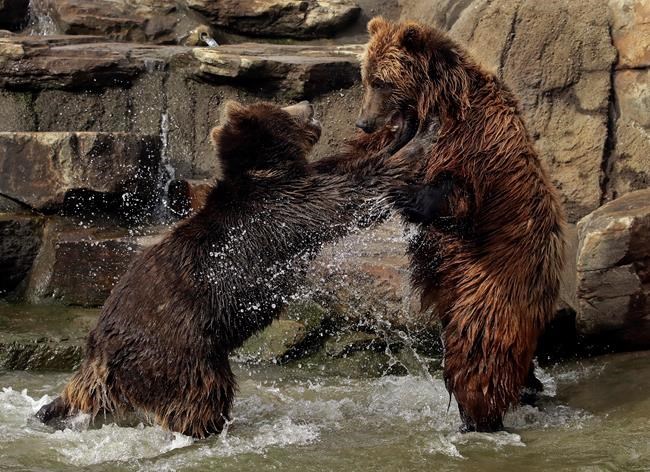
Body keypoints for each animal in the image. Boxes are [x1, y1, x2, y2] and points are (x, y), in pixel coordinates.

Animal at [36, 100, 435, 438]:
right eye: (282, 106)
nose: (308, 104)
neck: (270, 171)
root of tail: (98, 351)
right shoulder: (286, 210)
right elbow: (352, 195)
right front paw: (416, 142)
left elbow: (344, 165)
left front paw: (400, 128)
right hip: (179, 349)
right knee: (203, 393)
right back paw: (209, 428)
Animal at [352, 17, 567, 432]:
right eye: (366, 78)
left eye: (382, 82)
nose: (364, 122)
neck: (435, 101)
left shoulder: (473, 144)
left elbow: (452, 193)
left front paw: (399, 193)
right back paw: (529, 388)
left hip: (491, 281)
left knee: (478, 349)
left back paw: (479, 418)